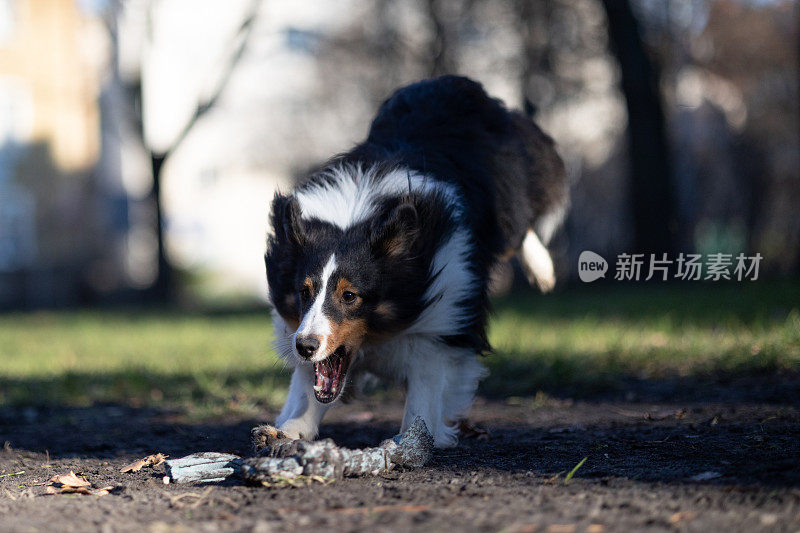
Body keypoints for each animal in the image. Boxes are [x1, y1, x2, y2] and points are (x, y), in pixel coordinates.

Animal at [266, 75, 564, 446]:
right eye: (304, 292)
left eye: (349, 296)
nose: (304, 346)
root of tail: (451, 81)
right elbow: (309, 388)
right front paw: (287, 431)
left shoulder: (441, 327)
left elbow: (425, 392)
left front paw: (410, 442)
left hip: (505, 198)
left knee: (519, 228)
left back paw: (543, 271)